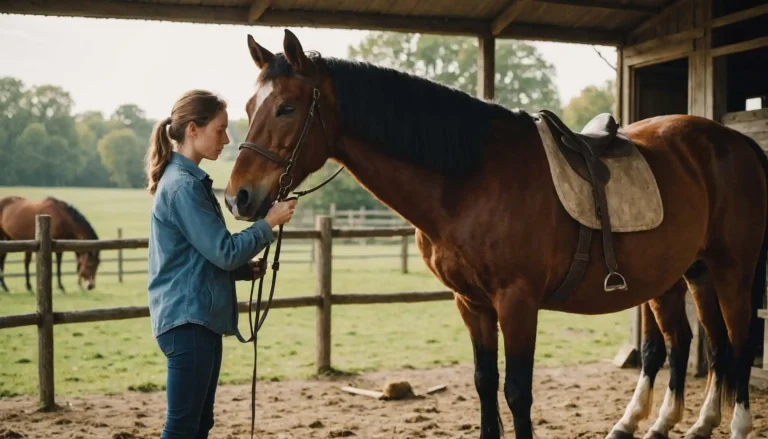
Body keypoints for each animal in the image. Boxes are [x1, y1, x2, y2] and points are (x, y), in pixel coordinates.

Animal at [224, 30, 767, 439]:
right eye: (249, 105)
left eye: (287, 108)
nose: (238, 198)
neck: (471, 177)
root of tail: (736, 143)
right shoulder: (472, 303)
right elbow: (485, 383)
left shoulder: (517, 301)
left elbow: (517, 392)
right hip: (688, 274)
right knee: (698, 344)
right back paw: (681, 424)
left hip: (731, 273)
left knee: (738, 343)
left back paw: (734, 426)